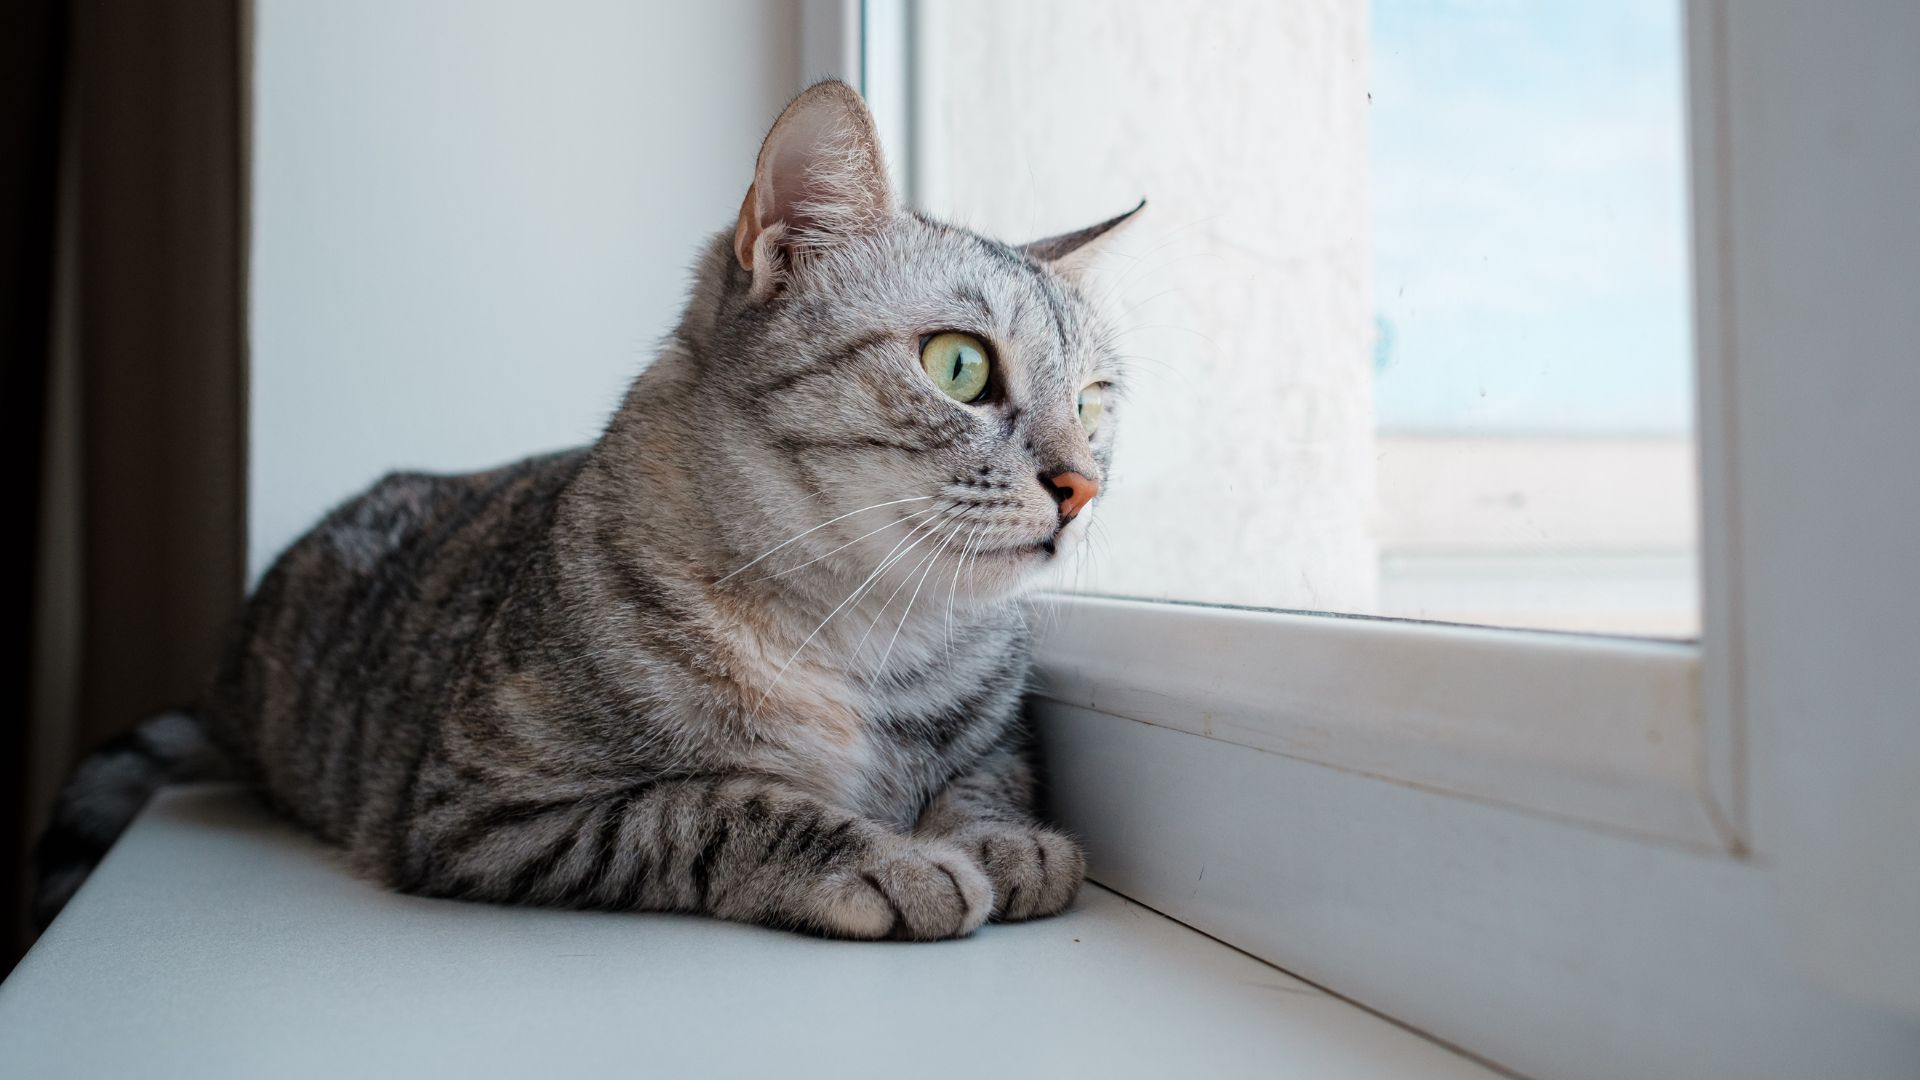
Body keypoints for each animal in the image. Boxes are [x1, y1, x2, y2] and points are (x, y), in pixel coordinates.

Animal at [33, 79, 1136, 937]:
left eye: (1094, 403)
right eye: (959, 366)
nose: (1082, 484)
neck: (871, 637)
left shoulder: (997, 735)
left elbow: (988, 772)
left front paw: (1002, 841)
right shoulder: (485, 811)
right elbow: (723, 807)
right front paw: (889, 859)